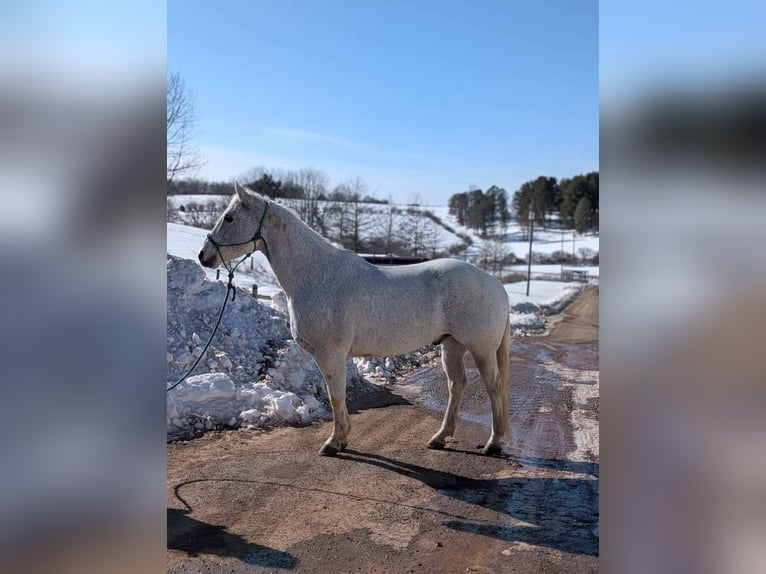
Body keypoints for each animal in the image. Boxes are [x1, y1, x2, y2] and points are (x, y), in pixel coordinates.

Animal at [199, 182, 510, 456]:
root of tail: (495, 284)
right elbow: (335, 394)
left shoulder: (330, 354)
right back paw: (440, 438)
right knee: (457, 385)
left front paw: (334, 442)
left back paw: (493, 444)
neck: (317, 274)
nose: (204, 256)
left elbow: (336, 395)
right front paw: (342, 438)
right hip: (451, 345)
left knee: (494, 386)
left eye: (229, 217)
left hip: (481, 349)